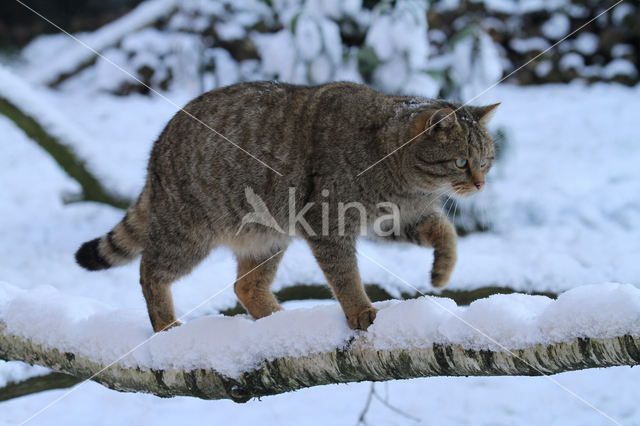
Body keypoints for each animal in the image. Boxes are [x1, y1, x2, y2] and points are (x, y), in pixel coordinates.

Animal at [74, 80, 496, 332]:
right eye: (461, 161)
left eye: (487, 159)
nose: (480, 183)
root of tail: (156, 152)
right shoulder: (329, 222)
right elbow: (345, 275)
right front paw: (359, 309)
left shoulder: (391, 219)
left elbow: (446, 230)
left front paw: (442, 271)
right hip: (187, 235)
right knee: (149, 271)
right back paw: (164, 324)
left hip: (267, 236)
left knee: (244, 286)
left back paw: (276, 322)